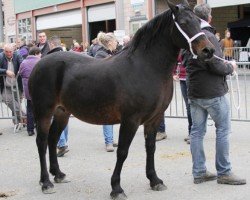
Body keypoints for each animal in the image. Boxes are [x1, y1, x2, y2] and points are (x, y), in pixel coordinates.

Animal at [28, 0, 213, 199]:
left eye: (199, 21)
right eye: (184, 22)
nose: (208, 50)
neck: (146, 67)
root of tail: (40, 62)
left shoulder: (154, 119)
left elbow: (151, 148)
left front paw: (154, 180)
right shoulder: (130, 120)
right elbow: (122, 152)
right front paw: (116, 188)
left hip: (62, 113)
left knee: (53, 139)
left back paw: (58, 174)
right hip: (44, 112)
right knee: (41, 142)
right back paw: (46, 182)